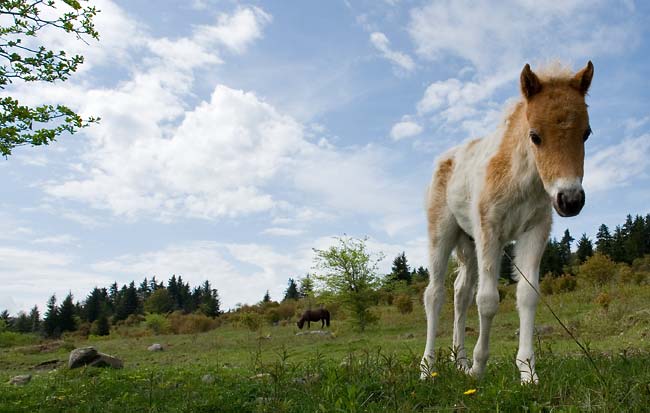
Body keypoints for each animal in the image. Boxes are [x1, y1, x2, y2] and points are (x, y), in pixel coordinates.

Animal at [420, 61, 592, 384]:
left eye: (586, 133)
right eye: (535, 135)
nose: (570, 200)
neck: (521, 180)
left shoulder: (535, 231)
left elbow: (527, 295)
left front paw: (527, 372)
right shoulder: (491, 231)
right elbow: (487, 300)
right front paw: (478, 369)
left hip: (469, 243)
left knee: (461, 293)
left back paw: (458, 361)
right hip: (442, 233)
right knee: (434, 293)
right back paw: (427, 367)